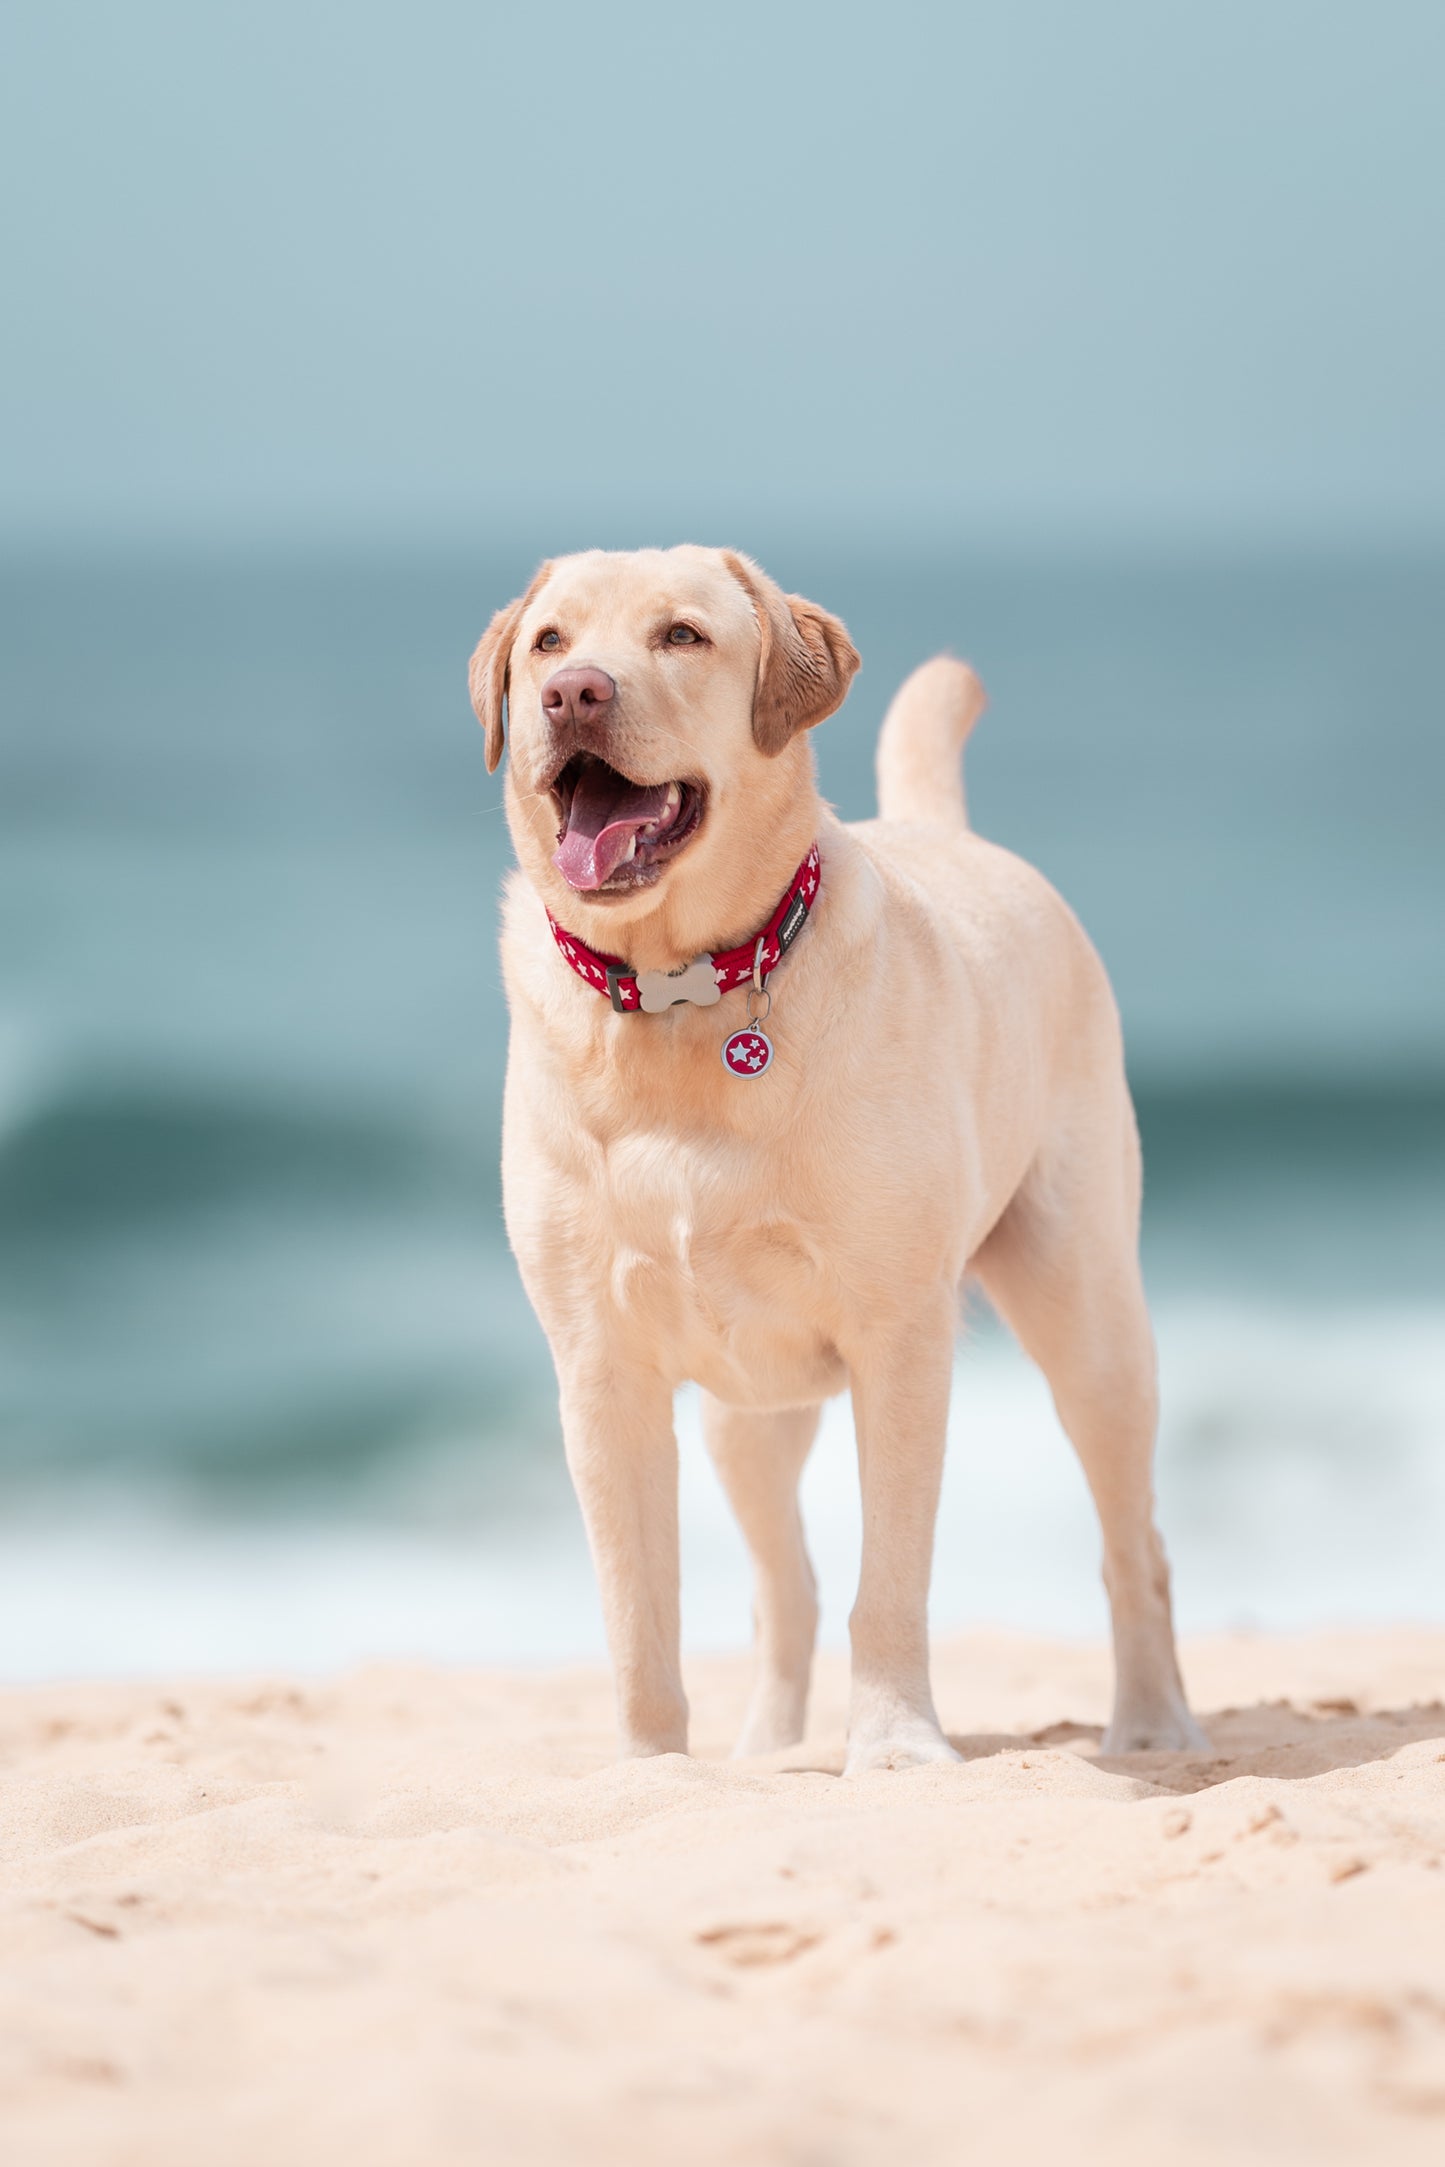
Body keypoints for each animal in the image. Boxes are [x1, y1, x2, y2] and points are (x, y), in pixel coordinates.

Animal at [470, 546, 1204, 1776]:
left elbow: (891, 1579)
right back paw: (766, 1751)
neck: (679, 997)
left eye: (680, 636)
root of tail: (948, 831)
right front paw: (648, 1767)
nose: (573, 695)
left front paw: (896, 1743)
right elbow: (636, 1612)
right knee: (785, 1588)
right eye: (549, 643)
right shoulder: (599, 1367)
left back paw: (1153, 1724)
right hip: (742, 1410)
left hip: (1086, 1311)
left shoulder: (899, 1337)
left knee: (1129, 1538)